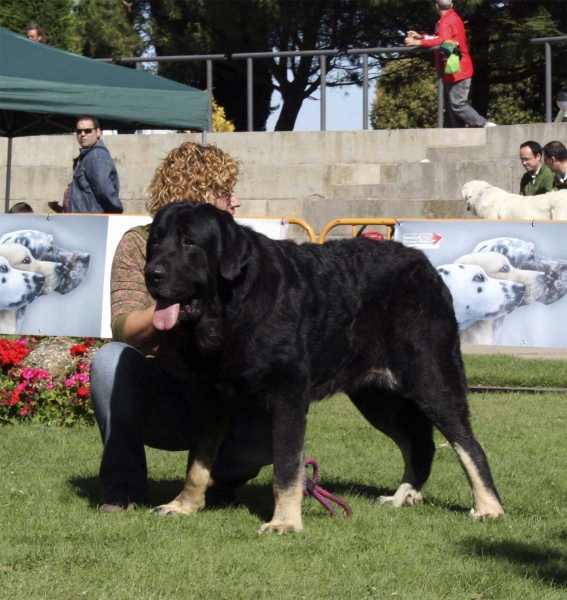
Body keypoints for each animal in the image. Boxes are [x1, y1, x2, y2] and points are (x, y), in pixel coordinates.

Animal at [143, 203, 506, 536]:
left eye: (190, 242)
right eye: (155, 241)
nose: (151, 273)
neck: (230, 310)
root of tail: (425, 265)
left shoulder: (288, 400)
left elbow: (287, 469)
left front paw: (285, 522)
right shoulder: (210, 400)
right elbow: (197, 463)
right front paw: (184, 505)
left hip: (431, 380)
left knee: (469, 446)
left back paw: (489, 507)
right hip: (378, 399)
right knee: (419, 444)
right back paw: (402, 496)